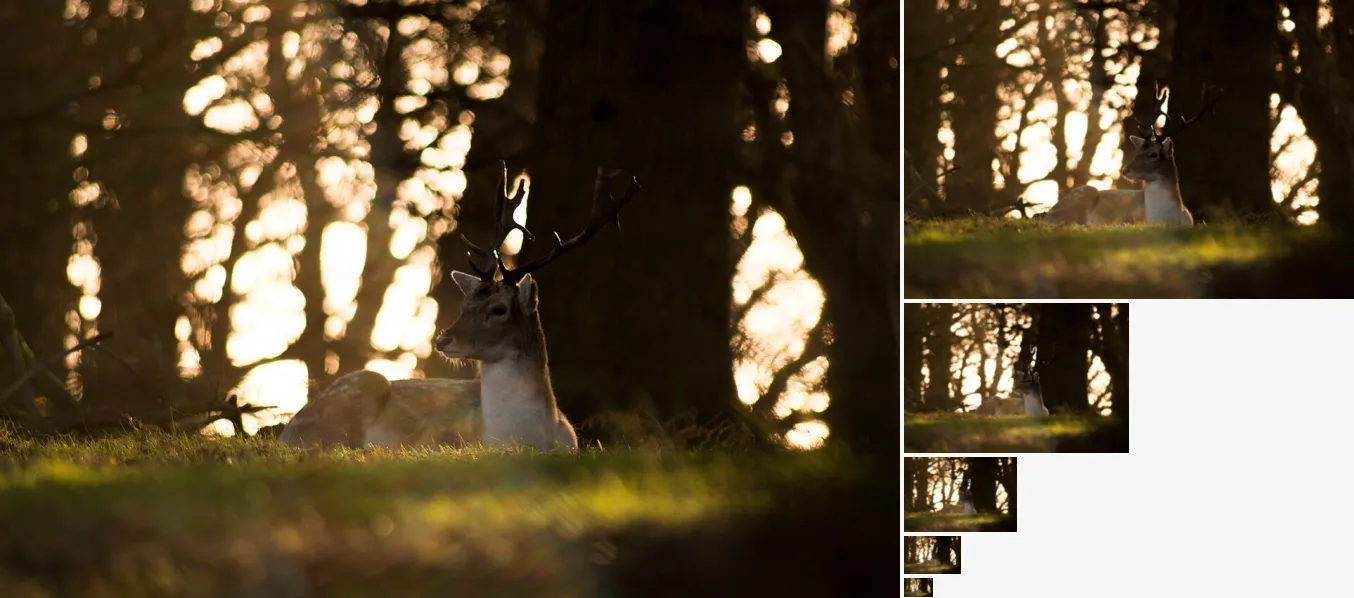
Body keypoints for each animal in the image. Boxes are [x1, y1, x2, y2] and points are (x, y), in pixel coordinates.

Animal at [277, 163, 640, 454]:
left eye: (498, 309)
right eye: (466, 303)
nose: (443, 339)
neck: (523, 439)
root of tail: (286, 432)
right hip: (358, 389)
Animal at [1044, 82, 1223, 227]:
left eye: (1153, 155)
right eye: (1137, 151)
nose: (1125, 170)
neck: (1167, 220)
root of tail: (1048, 215)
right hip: (1084, 194)